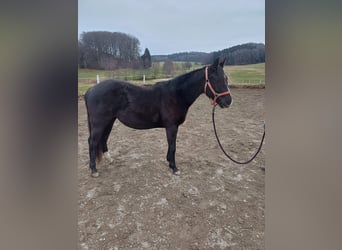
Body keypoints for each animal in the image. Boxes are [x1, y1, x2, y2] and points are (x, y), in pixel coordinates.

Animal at [85, 57, 232, 177]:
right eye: (214, 79)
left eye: (226, 78)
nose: (229, 101)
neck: (176, 94)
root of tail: (90, 91)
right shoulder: (171, 126)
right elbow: (173, 146)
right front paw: (174, 168)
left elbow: (171, 146)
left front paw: (169, 162)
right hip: (100, 123)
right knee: (92, 142)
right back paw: (94, 170)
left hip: (109, 121)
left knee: (103, 139)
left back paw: (109, 159)